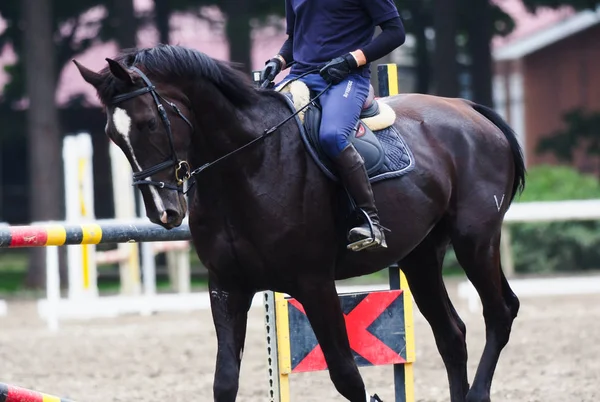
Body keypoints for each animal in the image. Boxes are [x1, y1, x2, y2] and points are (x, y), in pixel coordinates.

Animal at [74, 44, 524, 402]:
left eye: (150, 123)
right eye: (113, 135)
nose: (162, 212)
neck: (248, 164)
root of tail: (468, 109)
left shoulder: (314, 284)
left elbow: (347, 377)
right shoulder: (227, 287)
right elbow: (225, 381)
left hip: (475, 241)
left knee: (500, 312)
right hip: (420, 256)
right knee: (452, 336)